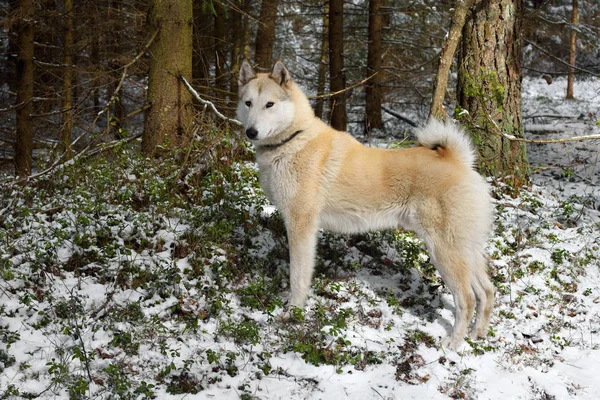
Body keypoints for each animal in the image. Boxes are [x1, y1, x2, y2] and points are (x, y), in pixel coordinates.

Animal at [237, 59, 494, 350]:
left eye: (269, 104)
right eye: (248, 103)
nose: (251, 132)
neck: (293, 138)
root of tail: (457, 160)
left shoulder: (300, 226)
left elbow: (298, 277)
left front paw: (294, 311)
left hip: (444, 251)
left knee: (467, 299)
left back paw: (453, 343)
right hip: (466, 250)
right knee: (487, 292)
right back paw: (477, 334)